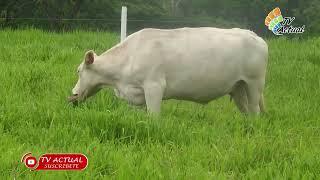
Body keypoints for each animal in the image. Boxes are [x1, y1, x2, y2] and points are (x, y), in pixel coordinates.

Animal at [68, 27, 268, 113]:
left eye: (78, 71)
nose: (73, 94)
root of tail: (253, 34)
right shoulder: (138, 94)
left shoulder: (154, 86)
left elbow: (154, 116)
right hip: (238, 87)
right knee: (246, 111)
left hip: (254, 83)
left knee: (255, 110)